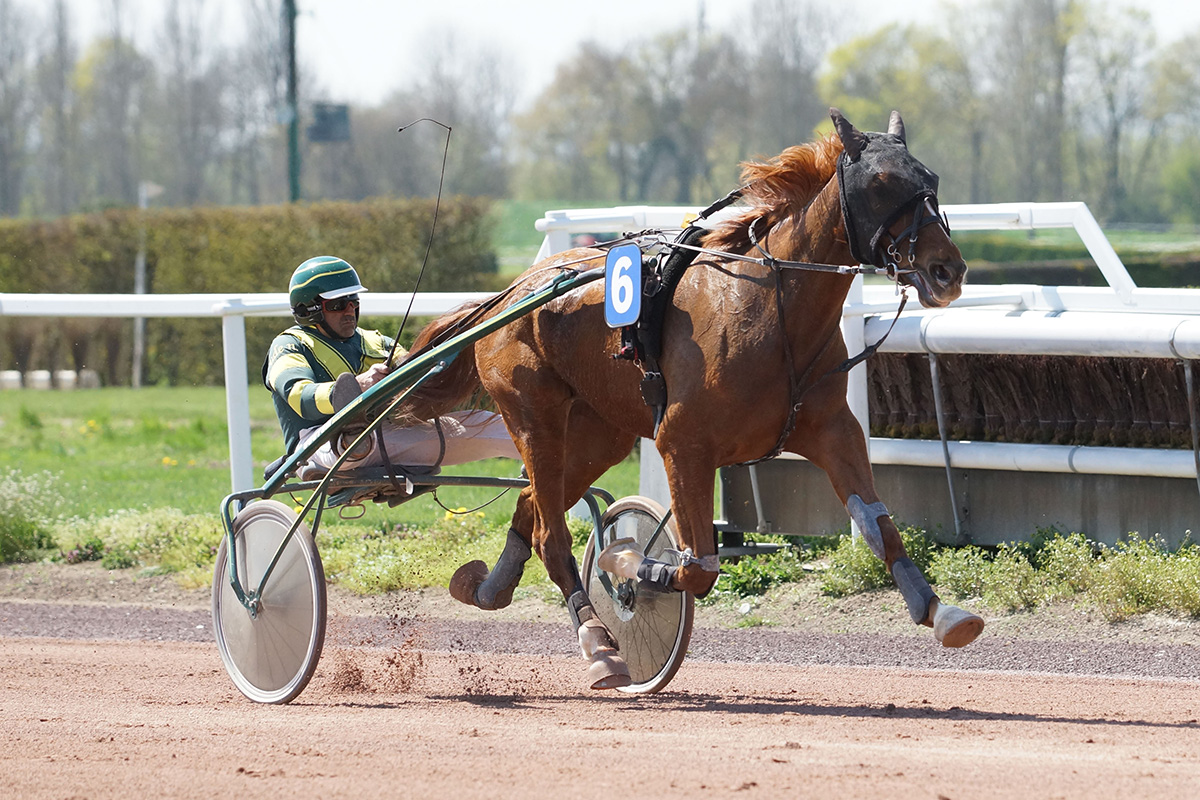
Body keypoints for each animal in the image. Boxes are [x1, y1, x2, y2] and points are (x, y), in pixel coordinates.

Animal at [402, 108, 984, 690]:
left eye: (930, 178)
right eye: (881, 183)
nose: (947, 270)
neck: (766, 309)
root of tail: (514, 289)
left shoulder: (832, 429)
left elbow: (879, 527)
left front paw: (943, 612)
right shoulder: (682, 443)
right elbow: (698, 566)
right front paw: (625, 563)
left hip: (599, 434)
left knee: (530, 507)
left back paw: (487, 587)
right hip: (533, 416)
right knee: (552, 535)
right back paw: (600, 645)